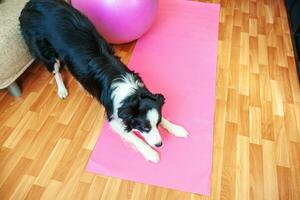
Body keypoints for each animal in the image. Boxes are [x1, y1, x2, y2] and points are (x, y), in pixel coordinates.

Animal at [18, 0, 189, 162]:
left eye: (157, 124)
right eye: (144, 128)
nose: (159, 144)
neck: (130, 93)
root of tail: (30, 4)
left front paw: (176, 128)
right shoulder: (113, 117)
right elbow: (134, 137)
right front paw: (150, 153)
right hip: (45, 52)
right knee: (56, 71)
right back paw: (62, 90)